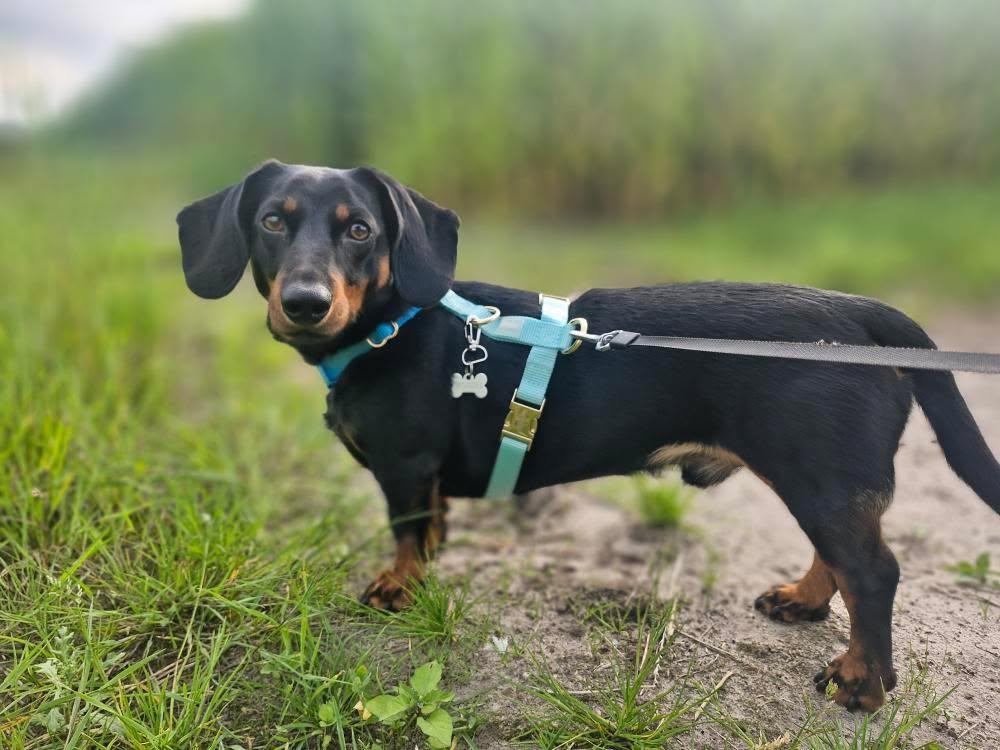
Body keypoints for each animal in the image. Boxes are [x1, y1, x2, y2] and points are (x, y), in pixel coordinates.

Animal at [178, 160, 1000, 712]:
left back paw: (861, 681)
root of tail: (865, 314)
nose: (306, 302)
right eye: (272, 222)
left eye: (360, 230)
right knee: (845, 561)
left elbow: (408, 533)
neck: (394, 322)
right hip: (819, 481)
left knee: (874, 573)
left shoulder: (405, 467)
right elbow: (431, 527)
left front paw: (399, 588)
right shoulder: (425, 474)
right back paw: (802, 599)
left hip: (819, 477)